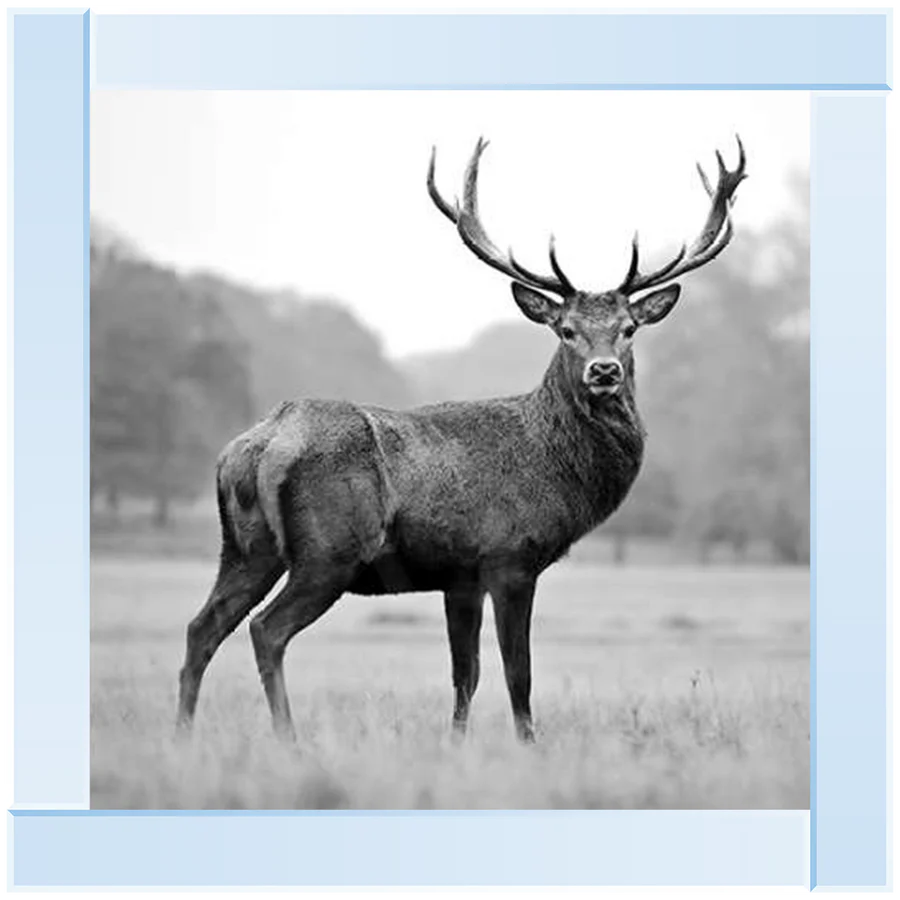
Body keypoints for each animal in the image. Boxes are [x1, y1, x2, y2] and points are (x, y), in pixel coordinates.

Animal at [174, 135, 744, 740]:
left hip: (245, 548)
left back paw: (183, 735)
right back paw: (288, 739)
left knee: (201, 627)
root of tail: (259, 445)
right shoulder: (510, 557)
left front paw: (456, 744)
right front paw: (528, 745)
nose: (605, 371)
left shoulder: (459, 576)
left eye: (629, 329)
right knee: (266, 629)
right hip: (329, 551)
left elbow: (464, 674)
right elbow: (518, 672)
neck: (556, 470)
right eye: (566, 330)